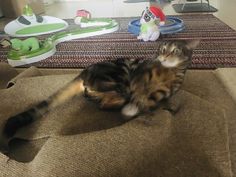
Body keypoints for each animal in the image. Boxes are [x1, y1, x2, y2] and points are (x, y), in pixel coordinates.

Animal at [0, 39, 199, 152]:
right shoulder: (140, 75)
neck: (168, 73)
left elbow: (156, 101)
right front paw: (140, 108)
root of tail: (84, 72)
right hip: (118, 71)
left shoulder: (163, 93)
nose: (164, 56)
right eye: (162, 49)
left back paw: (115, 101)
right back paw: (119, 93)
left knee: (96, 98)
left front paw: (159, 108)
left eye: (175, 51)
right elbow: (140, 95)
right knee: (102, 88)